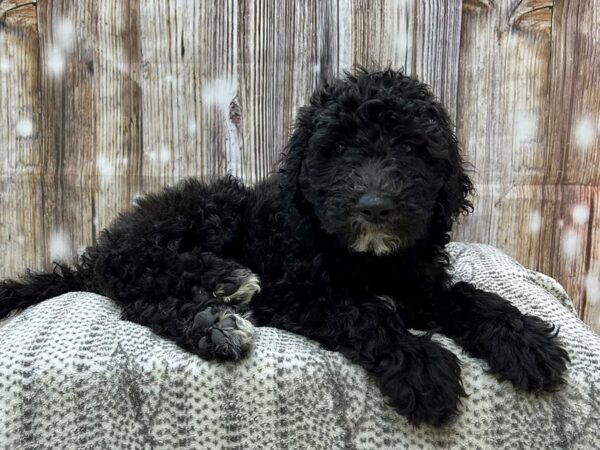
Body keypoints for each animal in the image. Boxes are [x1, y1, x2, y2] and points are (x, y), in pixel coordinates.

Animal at [0, 67, 568, 426]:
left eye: (411, 148)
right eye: (338, 148)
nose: (375, 205)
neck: (366, 259)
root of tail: (99, 248)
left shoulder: (419, 282)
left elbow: (469, 297)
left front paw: (524, 339)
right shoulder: (297, 292)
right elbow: (366, 313)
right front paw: (420, 364)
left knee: (140, 299)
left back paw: (211, 321)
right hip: (205, 210)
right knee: (137, 269)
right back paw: (223, 284)